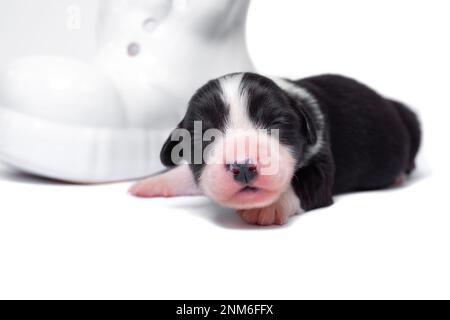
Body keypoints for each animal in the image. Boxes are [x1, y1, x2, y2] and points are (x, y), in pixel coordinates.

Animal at [130, 74, 422, 226]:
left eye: (277, 124)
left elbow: (301, 183)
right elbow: (189, 175)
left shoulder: (321, 163)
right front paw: (153, 182)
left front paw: (270, 206)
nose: (243, 167)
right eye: (204, 134)